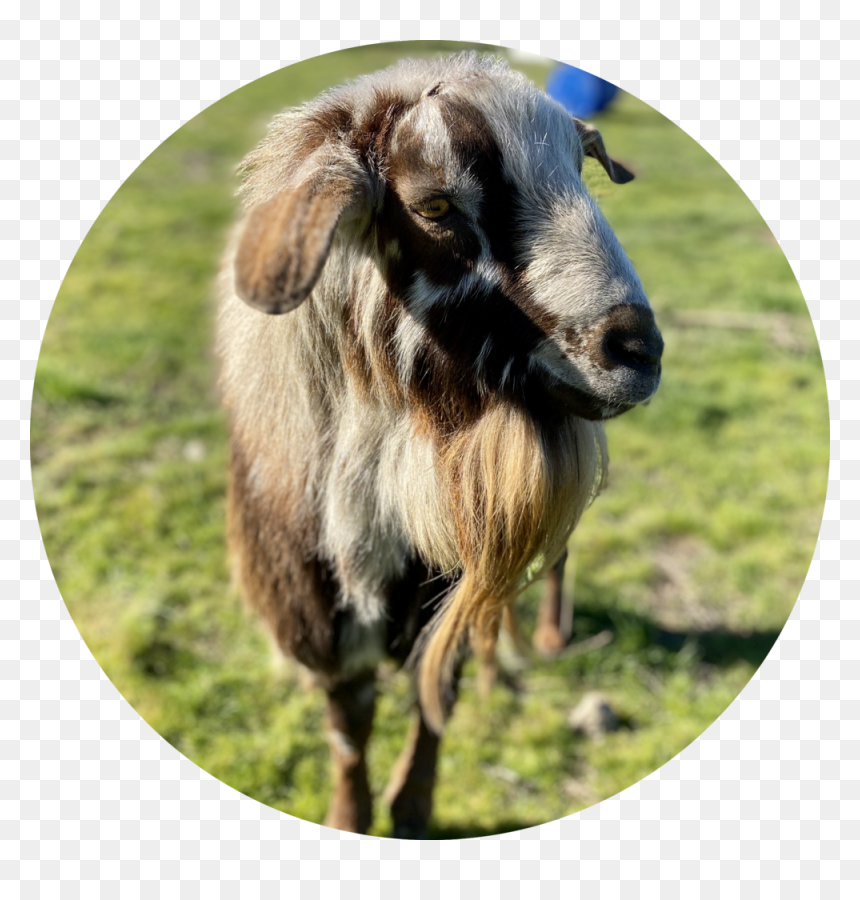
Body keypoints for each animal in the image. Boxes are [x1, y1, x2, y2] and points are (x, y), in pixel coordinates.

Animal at [217, 54, 663, 837]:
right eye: (434, 206)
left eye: (583, 170)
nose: (638, 350)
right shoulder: (321, 626)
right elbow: (349, 727)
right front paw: (351, 815)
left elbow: (437, 694)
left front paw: (414, 807)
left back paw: (549, 640)